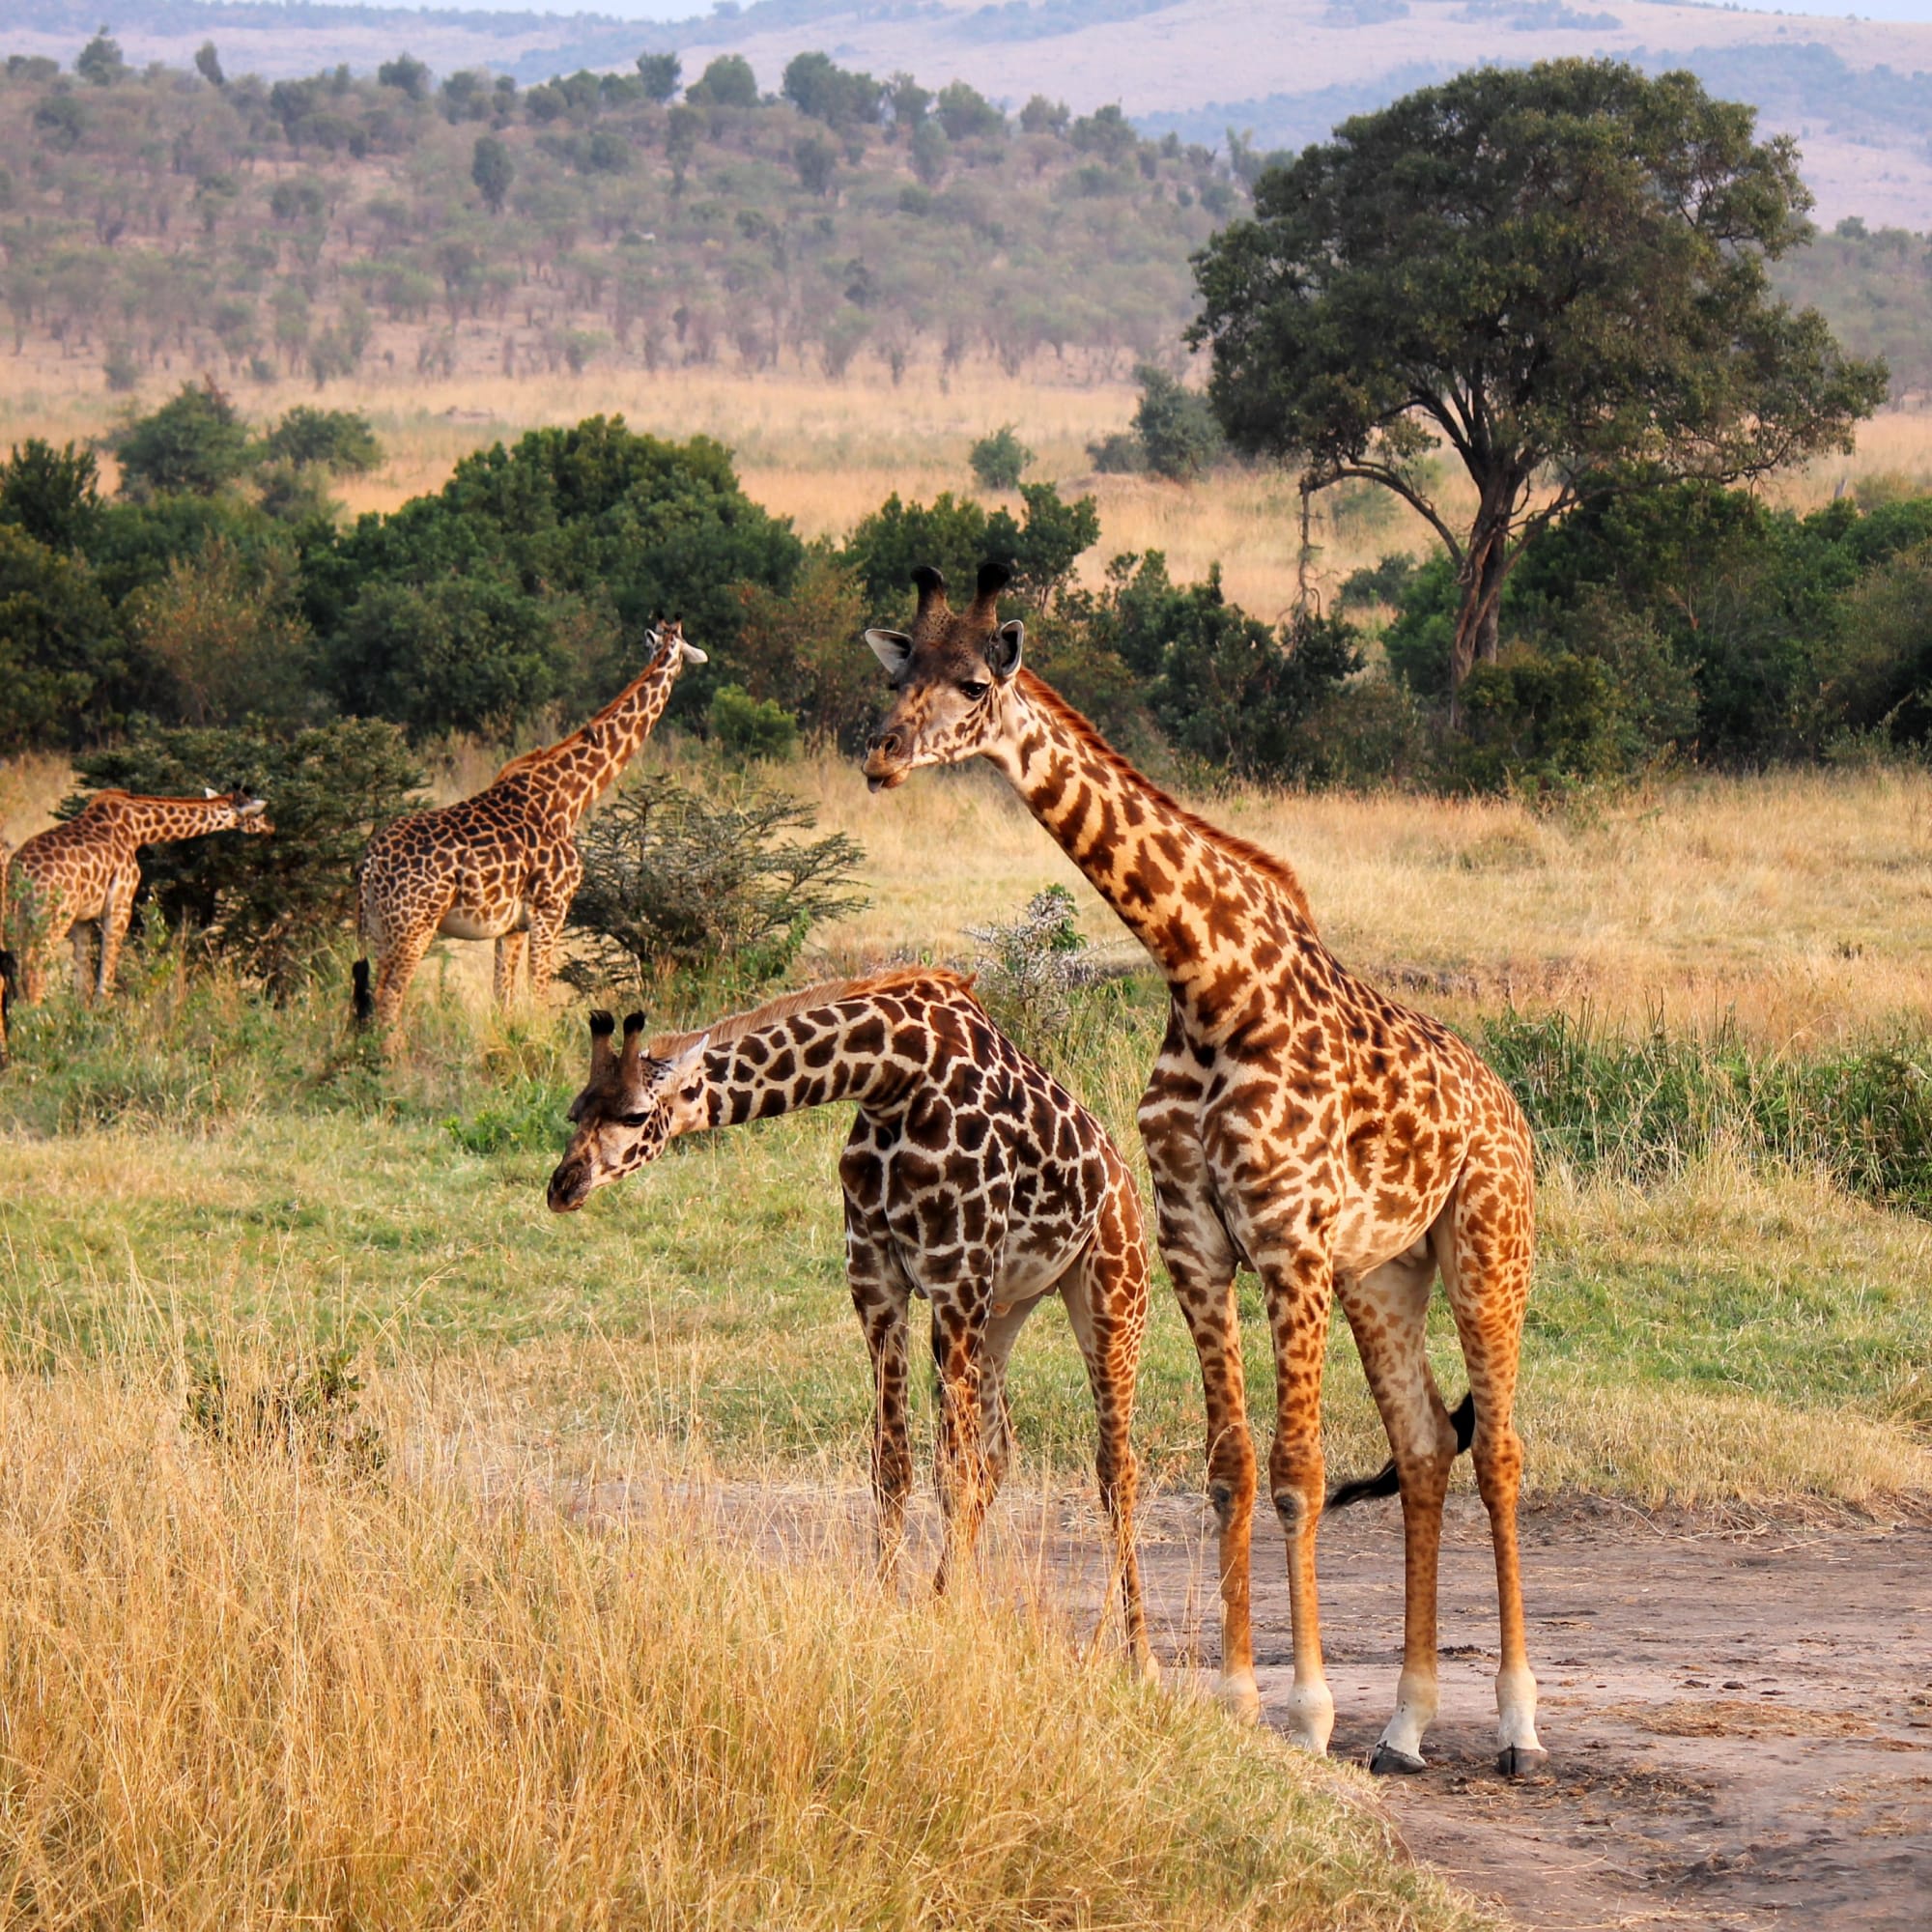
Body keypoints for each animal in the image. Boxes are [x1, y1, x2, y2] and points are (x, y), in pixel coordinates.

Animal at [4, 789, 272, 1008]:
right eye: (257, 813)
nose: (271, 826)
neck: (138, 829)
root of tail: (20, 871)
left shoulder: (83, 917)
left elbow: (82, 982)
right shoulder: (120, 905)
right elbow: (105, 979)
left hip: (17, 915)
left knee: (15, 967)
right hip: (53, 916)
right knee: (34, 969)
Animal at [352, 620, 706, 1039]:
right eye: (684, 647)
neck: (569, 795)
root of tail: (371, 861)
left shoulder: (512, 926)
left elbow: (503, 1000)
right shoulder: (550, 909)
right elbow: (539, 995)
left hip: (379, 925)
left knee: (368, 998)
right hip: (413, 924)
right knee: (389, 997)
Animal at [546, 967, 1153, 1660]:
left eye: (635, 1114)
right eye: (574, 1110)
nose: (562, 1186)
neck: (890, 1077)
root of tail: (1125, 1179)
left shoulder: (955, 1278)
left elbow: (951, 1472)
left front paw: (952, 1620)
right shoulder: (877, 1283)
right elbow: (893, 1465)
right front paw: (896, 1607)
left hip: (1110, 1291)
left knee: (1114, 1466)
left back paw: (1138, 1654)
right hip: (1006, 1309)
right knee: (1000, 1455)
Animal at [859, 562, 1546, 1777]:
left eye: (975, 682)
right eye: (901, 674)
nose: (881, 753)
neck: (1208, 983)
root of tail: (1504, 1104)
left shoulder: (1287, 1241)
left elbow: (1296, 1469)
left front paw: (1307, 1709)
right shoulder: (1197, 1245)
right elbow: (1231, 1465)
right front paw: (1236, 1696)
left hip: (1483, 1246)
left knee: (1499, 1451)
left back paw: (1516, 1725)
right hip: (1384, 1276)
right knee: (1423, 1447)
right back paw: (1405, 1725)